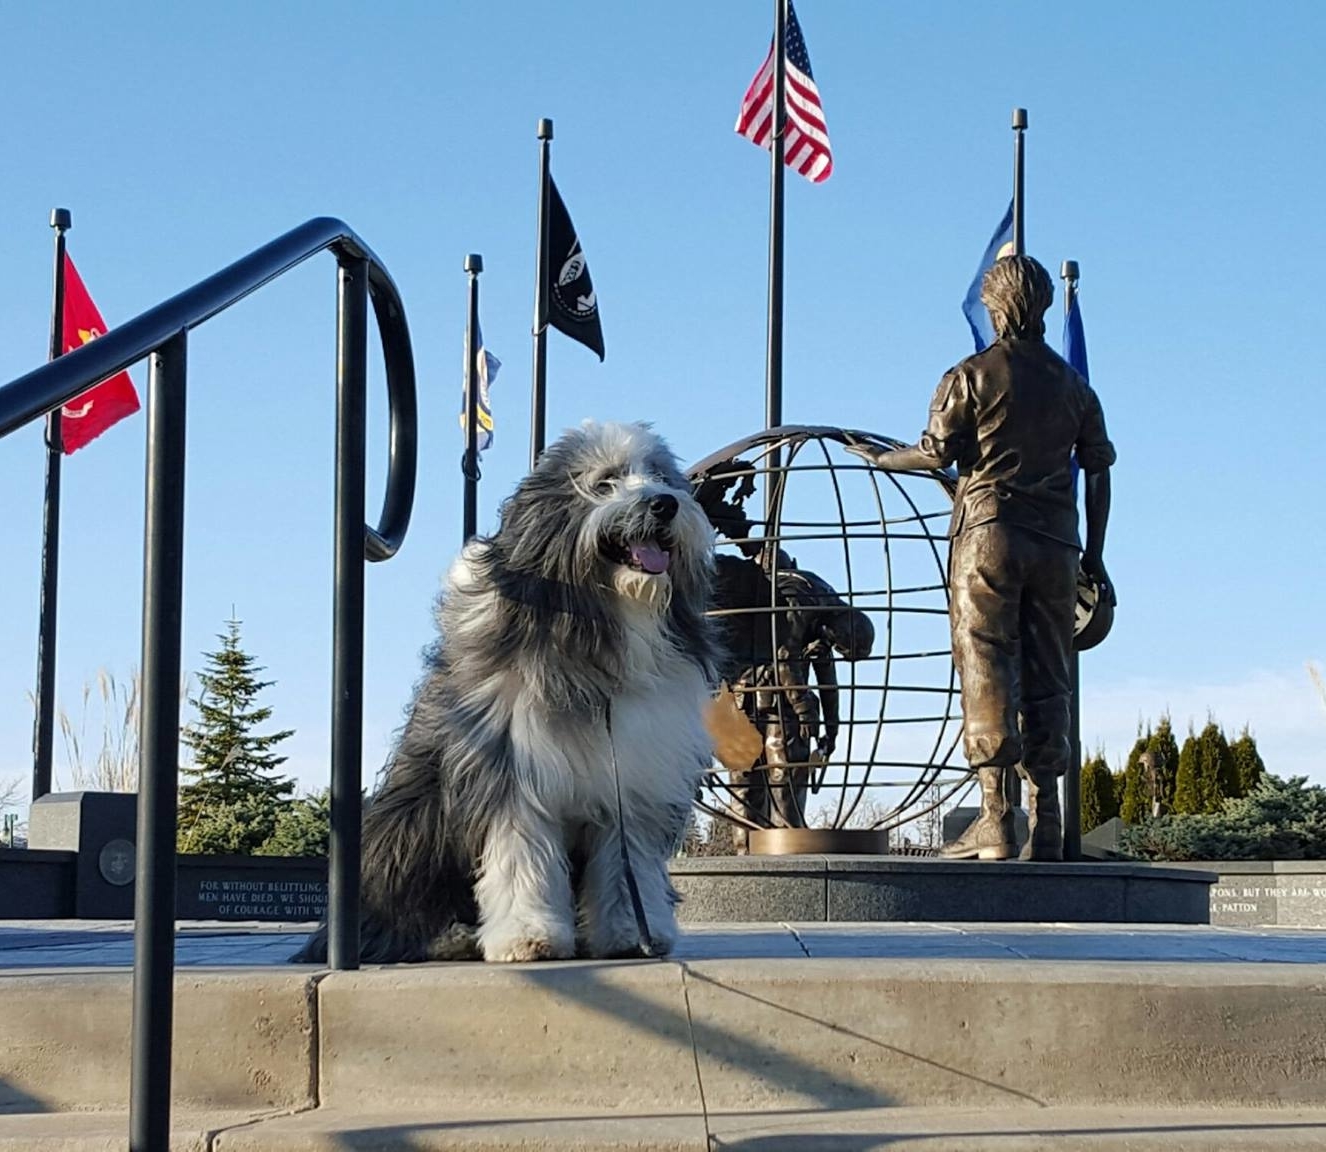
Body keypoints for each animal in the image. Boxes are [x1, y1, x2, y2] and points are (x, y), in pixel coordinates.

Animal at [295, 421, 721, 959]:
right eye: (605, 482)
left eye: (661, 477)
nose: (664, 504)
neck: (602, 633)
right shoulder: (511, 766)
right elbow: (521, 857)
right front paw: (529, 935)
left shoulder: (635, 779)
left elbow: (629, 867)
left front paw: (630, 932)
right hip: (407, 830)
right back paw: (447, 937)